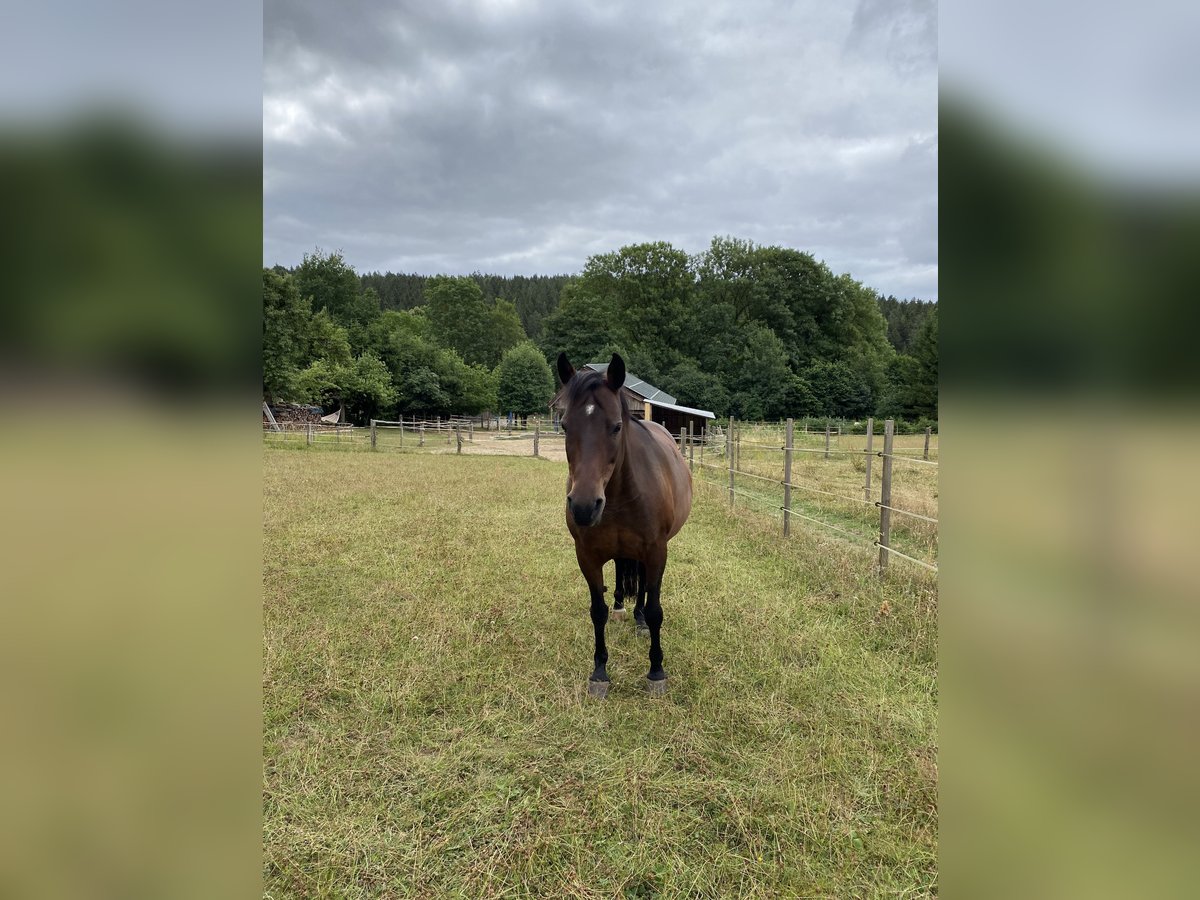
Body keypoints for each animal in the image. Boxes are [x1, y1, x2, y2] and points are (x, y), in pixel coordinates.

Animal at [554, 352, 693, 698]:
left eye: (616, 427)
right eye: (564, 426)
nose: (584, 506)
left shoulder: (656, 551)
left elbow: (656, 610)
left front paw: (656, 672)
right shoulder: (587, 555)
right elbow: (597, 611)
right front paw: (599, 673)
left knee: (641, 584)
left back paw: (639, 618)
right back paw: (621, 607)